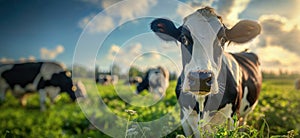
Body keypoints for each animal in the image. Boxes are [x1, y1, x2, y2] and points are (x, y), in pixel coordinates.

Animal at [151, 6, 262, 137]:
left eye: (222, 40)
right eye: (183, 38)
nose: (201, 78)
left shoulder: (232, 117)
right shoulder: (184, 118)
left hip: (245, 113)